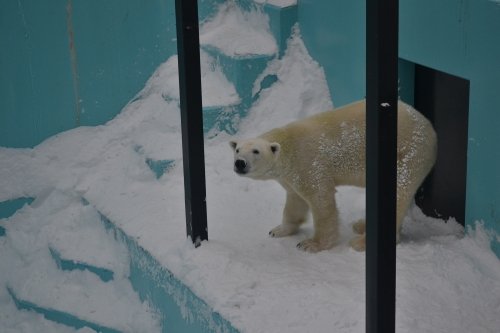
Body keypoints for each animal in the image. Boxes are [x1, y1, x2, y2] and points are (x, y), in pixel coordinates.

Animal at [230, 100, 438, 250]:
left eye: (256, 151)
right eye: (238, 149)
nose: (239, 163)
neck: (288, 146)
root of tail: (430, 129)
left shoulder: (309, 162)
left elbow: (321, 199)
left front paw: (310, 244)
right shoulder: (291, 175)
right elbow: (295, 201)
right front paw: (278, 230)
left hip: (406, 155)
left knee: (397, 194)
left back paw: (361, 242)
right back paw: (361, 225)